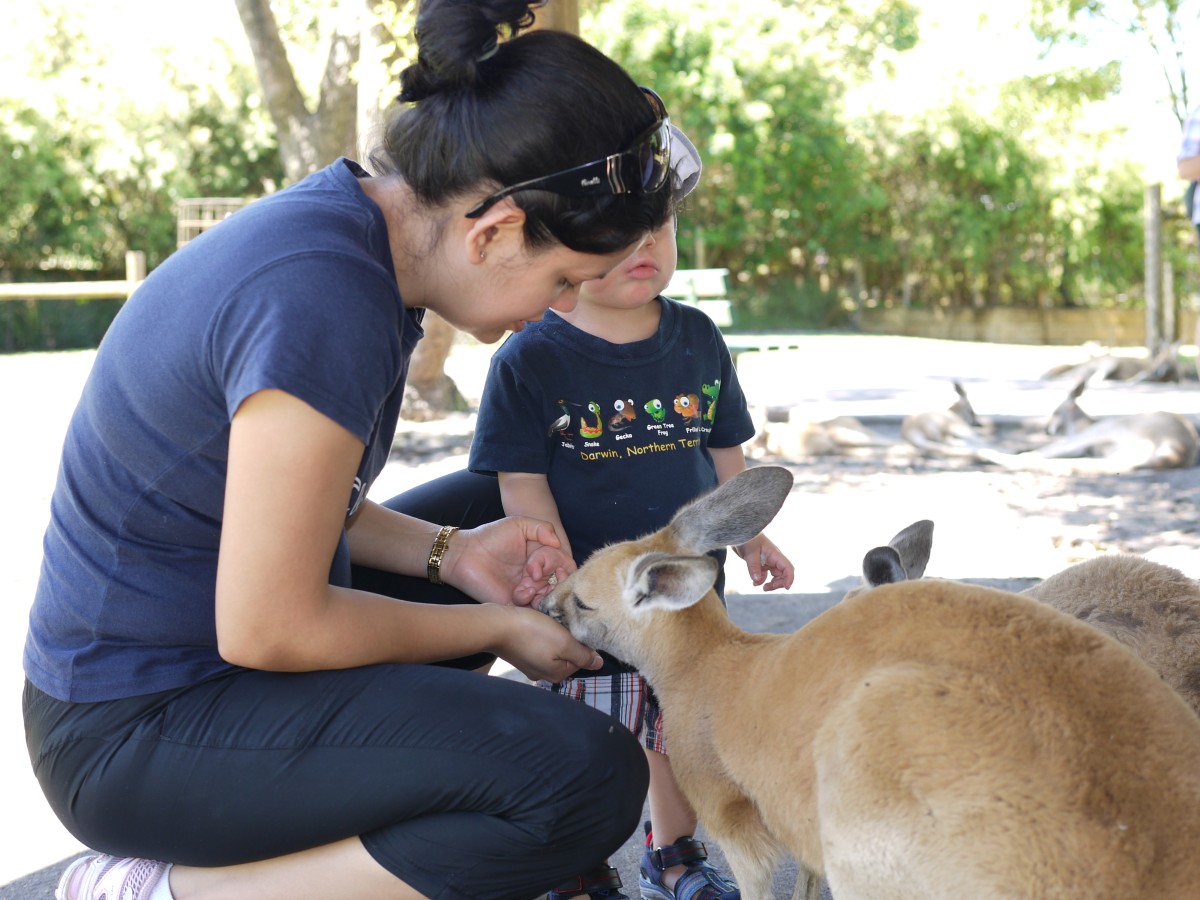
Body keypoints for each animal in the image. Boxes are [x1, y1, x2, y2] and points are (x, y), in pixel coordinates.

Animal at [976, 377, 1199, 473]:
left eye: (1055, 412)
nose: (1046, 430)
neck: (1079, 423)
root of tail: (1176, 451)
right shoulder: (1085, 445)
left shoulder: (1085, 435)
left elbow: (1054, 448)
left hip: (1116, 430)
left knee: (1041, 456)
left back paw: (988, 454)